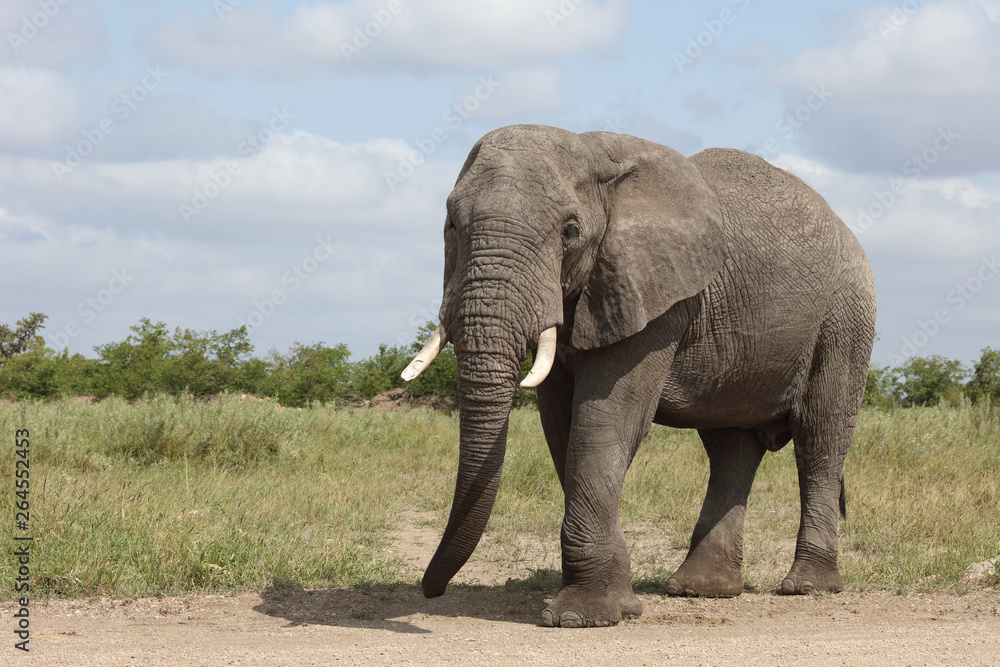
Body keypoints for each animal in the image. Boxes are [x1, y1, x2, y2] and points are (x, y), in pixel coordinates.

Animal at [398, 124, 876, 628]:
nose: (431, 590)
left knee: (820, 440)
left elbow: (605, 420)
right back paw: (701, 590)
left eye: (570, 231)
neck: (595, 155)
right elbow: (562, 427)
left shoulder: (654, 293)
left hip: (845, 318)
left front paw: (580, 618)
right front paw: (621, 603)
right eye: (451, 225)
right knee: (731, 449)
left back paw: (807, 587)